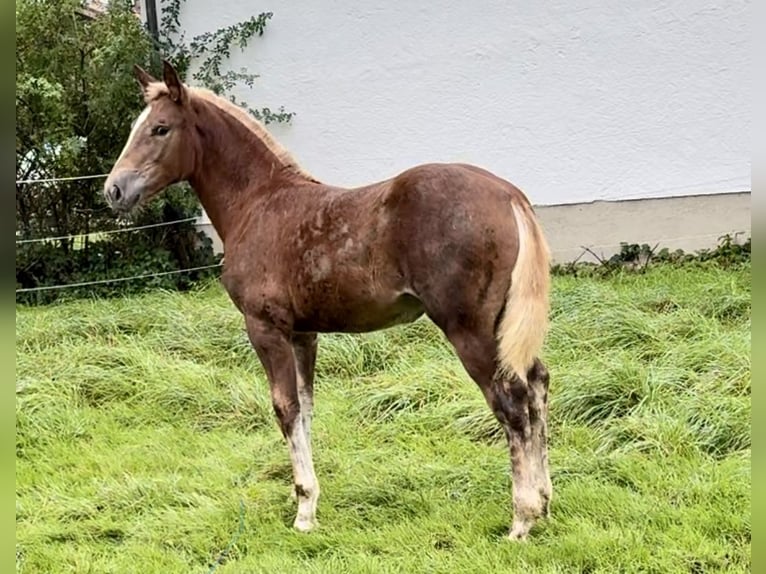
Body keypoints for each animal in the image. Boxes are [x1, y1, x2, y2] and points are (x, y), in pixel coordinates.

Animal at [105, 63, 556, 544]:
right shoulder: (304, 334)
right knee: (537, 385)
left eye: (160, 128)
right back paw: (546, 503)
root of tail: (509, 195)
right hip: (502, 327)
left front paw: (304, 511)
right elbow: (305, 409)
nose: (113, 190)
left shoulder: (265, 328)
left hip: (468, 330)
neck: (257, 202)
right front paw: (307, 500)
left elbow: (284, 408)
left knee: (511, 403)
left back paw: (522, 518)